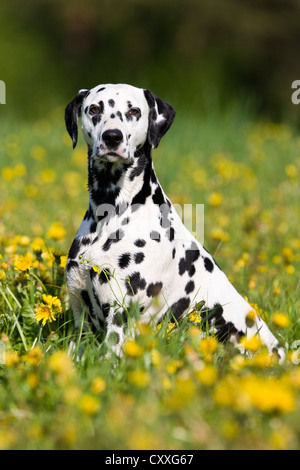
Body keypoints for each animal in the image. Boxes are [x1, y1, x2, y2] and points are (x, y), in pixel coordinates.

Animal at [63, 83, 284, 360]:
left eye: (134, 110)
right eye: (94, 109)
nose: (112, 137)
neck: (111, 213)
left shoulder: (121, 313)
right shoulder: (79, 310)